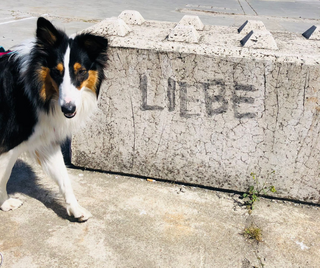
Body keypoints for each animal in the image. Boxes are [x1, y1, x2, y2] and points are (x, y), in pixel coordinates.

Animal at [0, 17, 109, 222]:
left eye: (81, 72)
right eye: (56, 72)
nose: (68, 109)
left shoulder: (45, 140)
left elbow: (64, 177)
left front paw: (75, 208)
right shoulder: (8, 144)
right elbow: (3, 176)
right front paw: (4, 203)